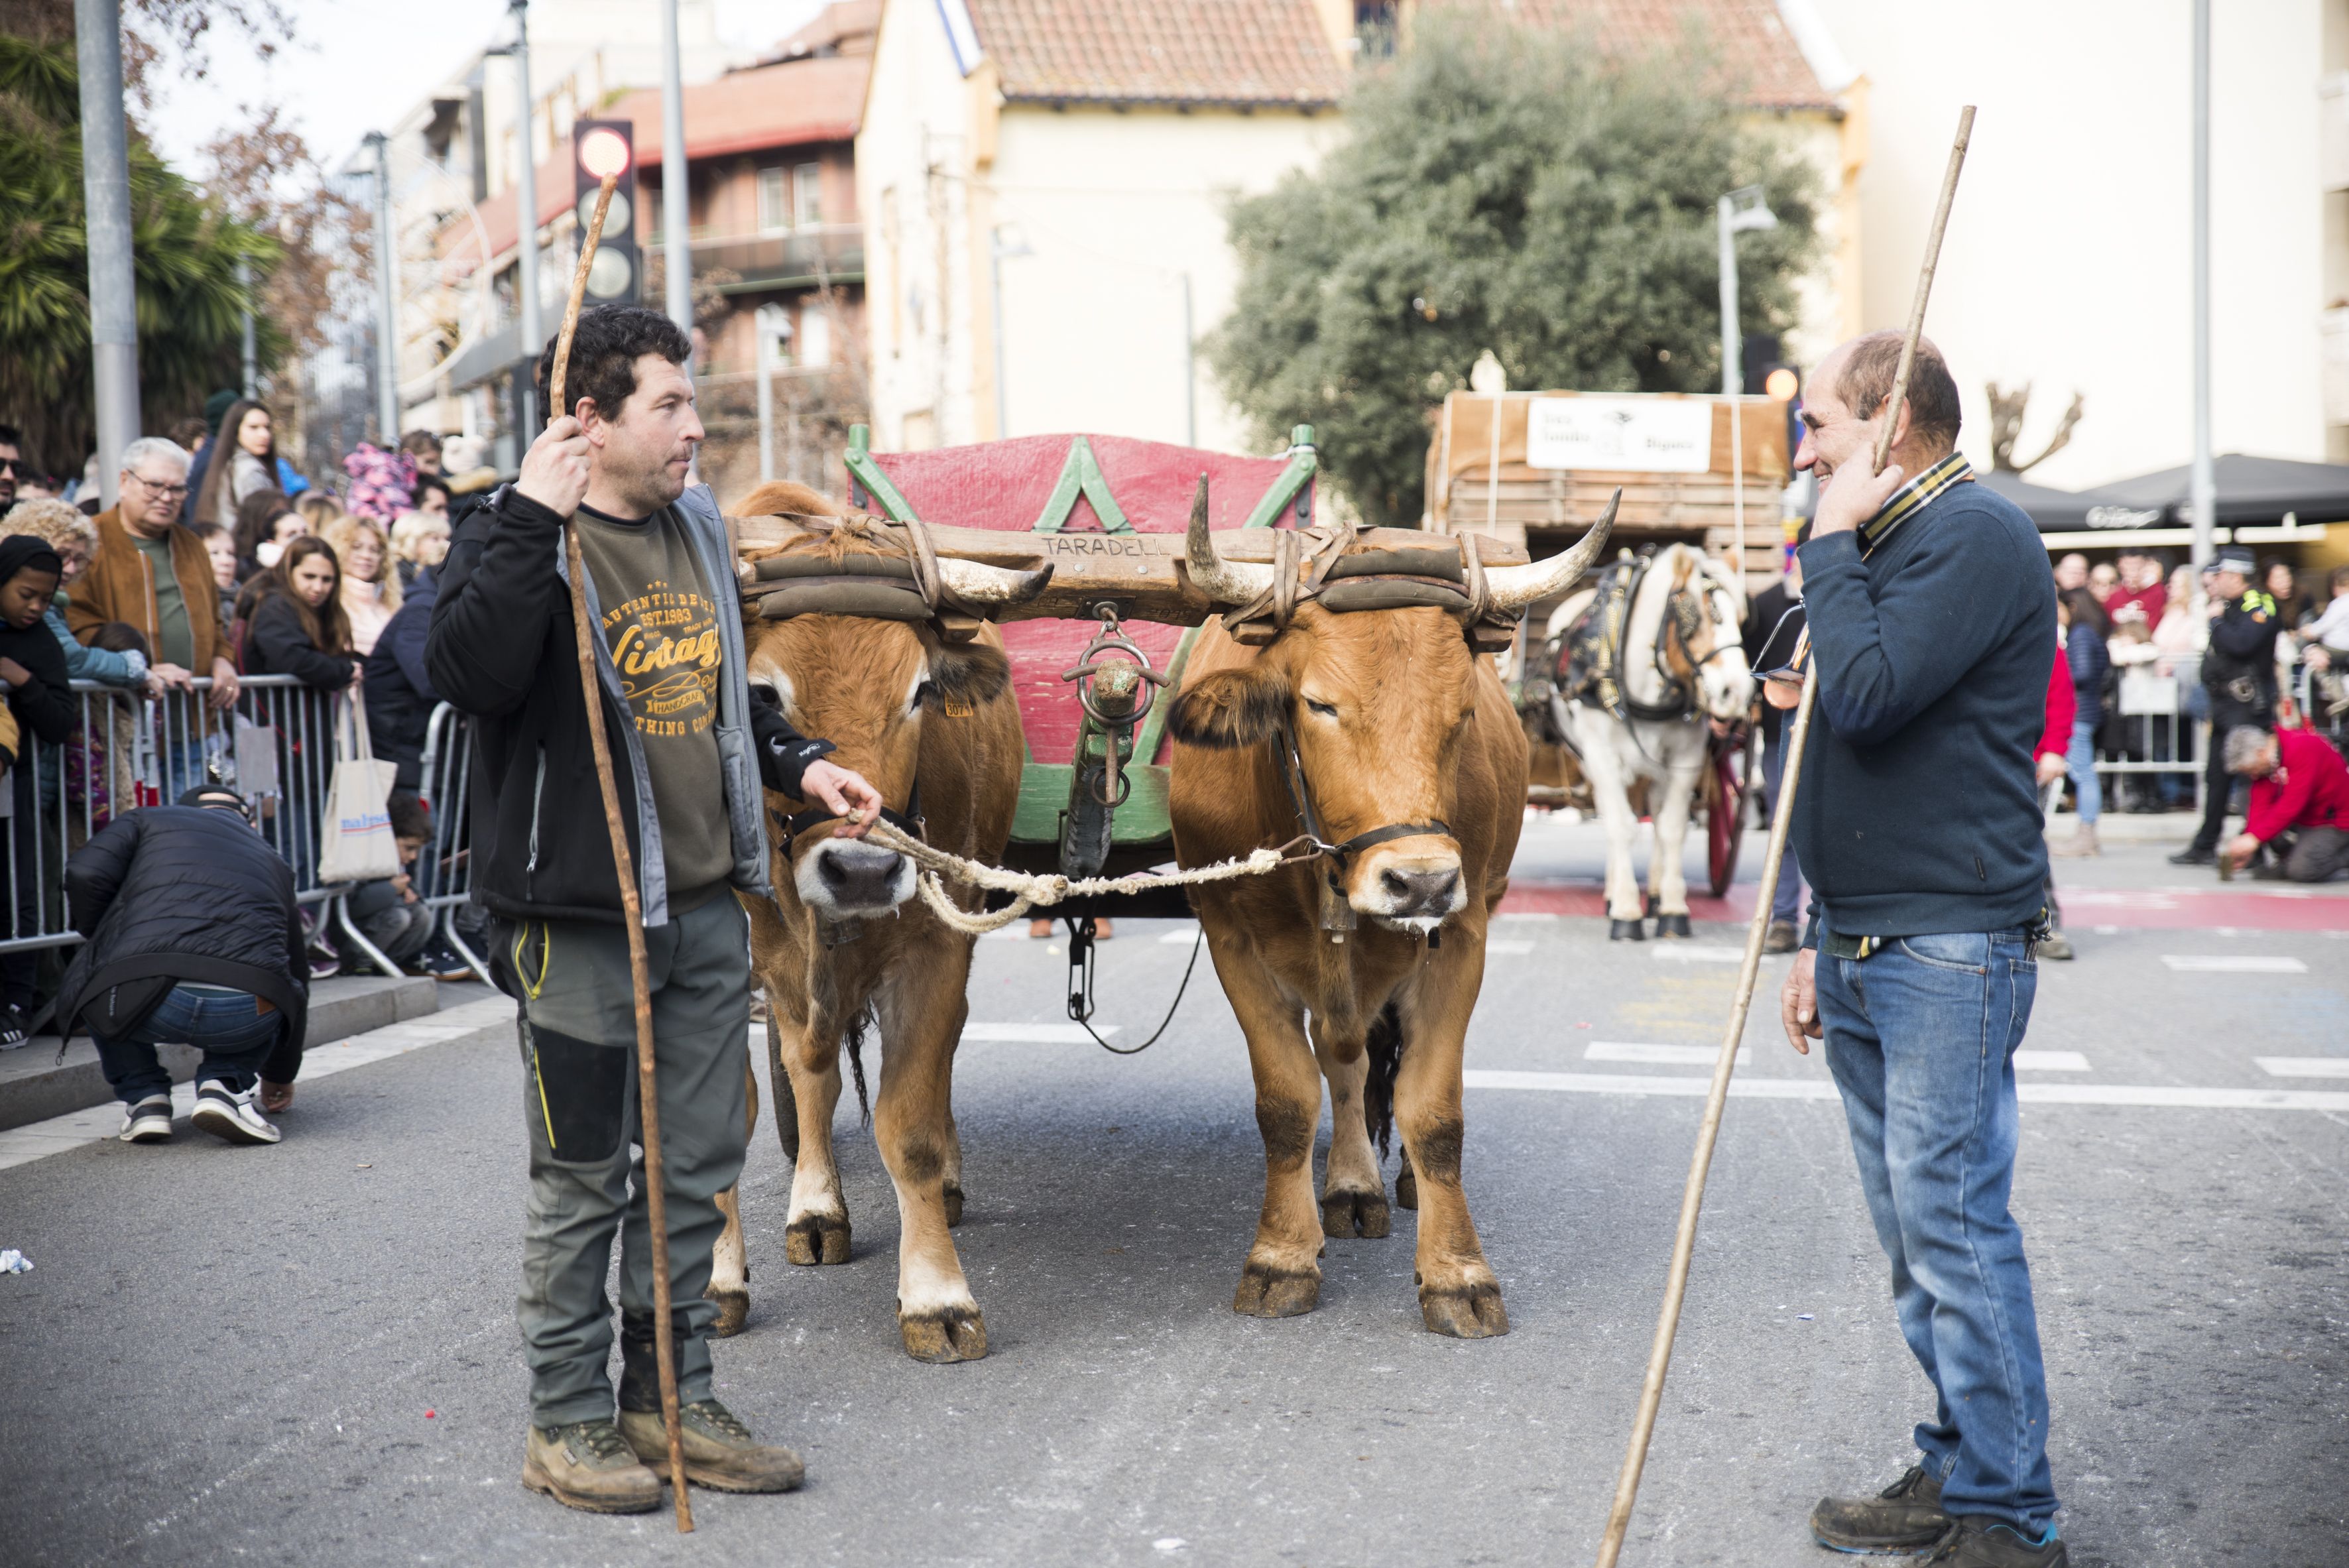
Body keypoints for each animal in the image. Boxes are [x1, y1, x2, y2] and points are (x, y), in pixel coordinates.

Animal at [1550, 544, 1757, 939]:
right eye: (1697, 614)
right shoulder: (1601, 756)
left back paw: (1657, 894)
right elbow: (1622, 826)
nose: (1737, 693)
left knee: (1659, 817)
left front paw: (1673, 910)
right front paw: (1626, 911)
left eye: (1742, 618)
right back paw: (1614, 894)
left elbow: (1671, 828)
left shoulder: (1685, 759)